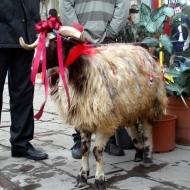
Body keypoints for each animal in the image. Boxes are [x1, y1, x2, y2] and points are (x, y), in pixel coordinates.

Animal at [19, 25, 168, 190]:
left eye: (54, 43)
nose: (34, 65)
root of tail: (143, 51)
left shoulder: (103, 119)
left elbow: (97, 151)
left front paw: (99, 180)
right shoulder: (83, 117)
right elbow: (84, 149)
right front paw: (82, 176)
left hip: (149, 103)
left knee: (147, 129)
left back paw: (147, 158)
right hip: (128, 107)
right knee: (133, 129)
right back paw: (138, 154)